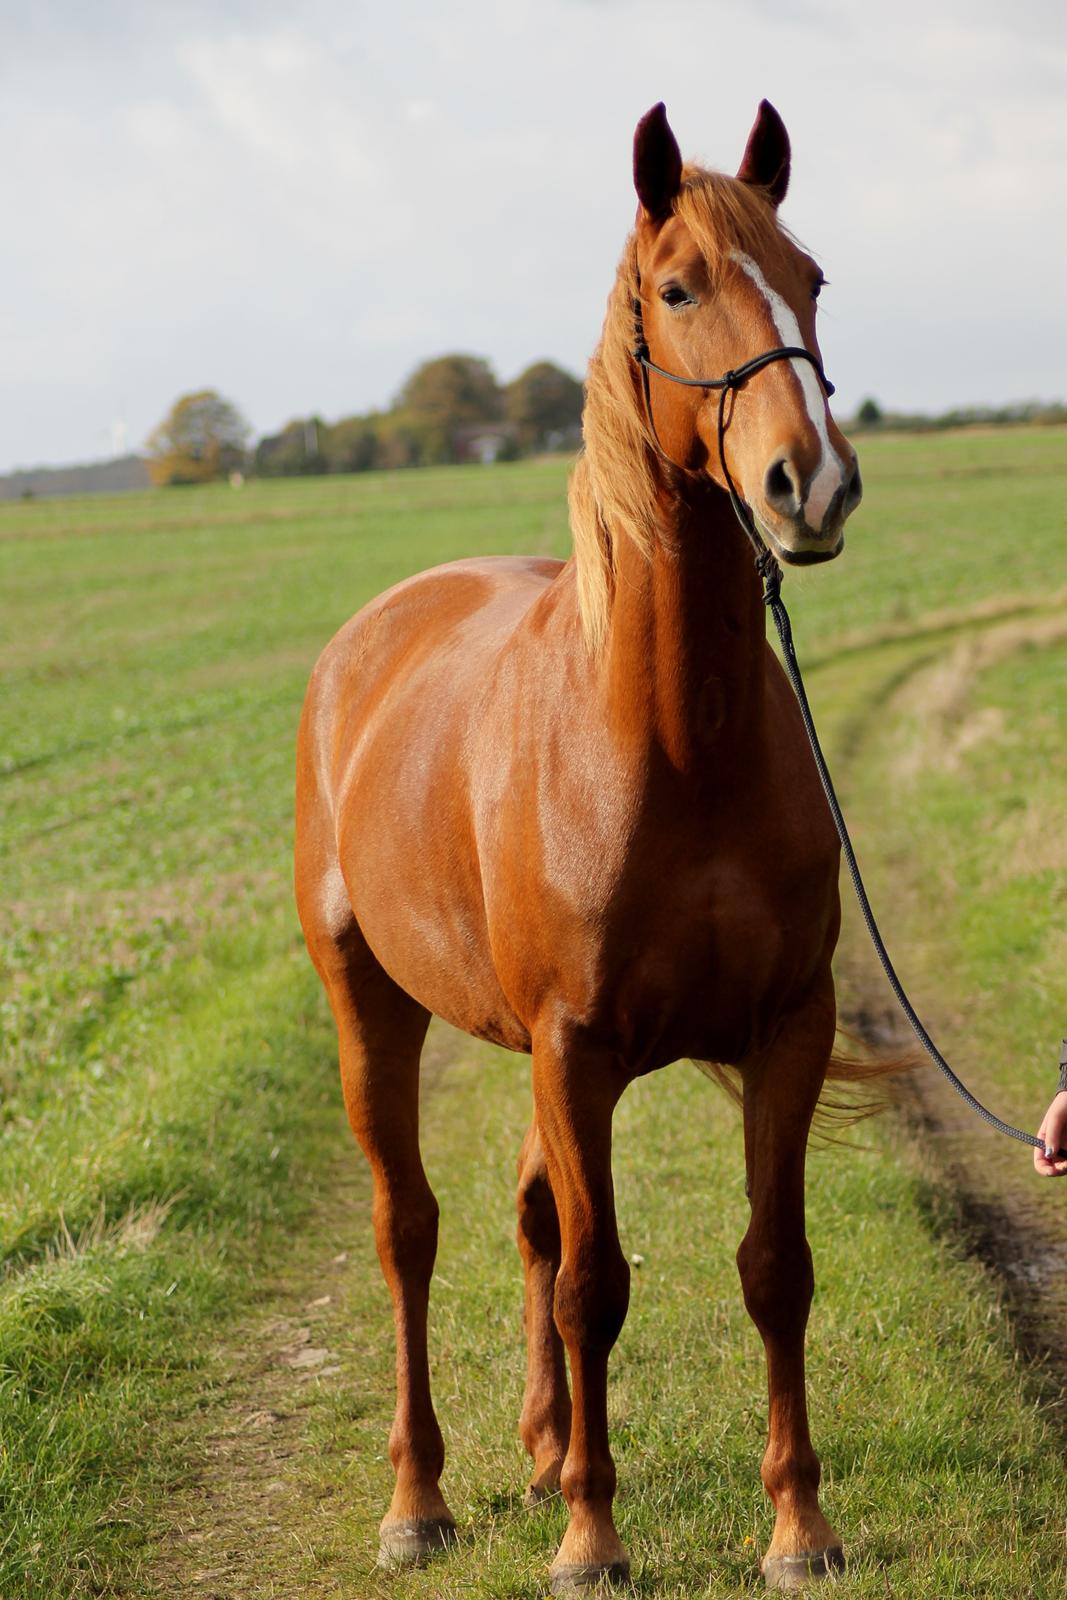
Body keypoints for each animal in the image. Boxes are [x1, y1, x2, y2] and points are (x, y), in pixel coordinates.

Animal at [295, 106, 863, 1593]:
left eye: (810, 278)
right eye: (676, 286)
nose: (810, 484)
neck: (672, 741)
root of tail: (364, 643)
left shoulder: (786, 1025)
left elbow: (773, 1264)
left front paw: (797, 1524)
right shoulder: (574, 1045)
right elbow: (593, 1284)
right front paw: (589, 1536)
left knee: (528, 1213)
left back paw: (545, 1444)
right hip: (372, 1007)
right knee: (412, 1230)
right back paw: (420, 1497)